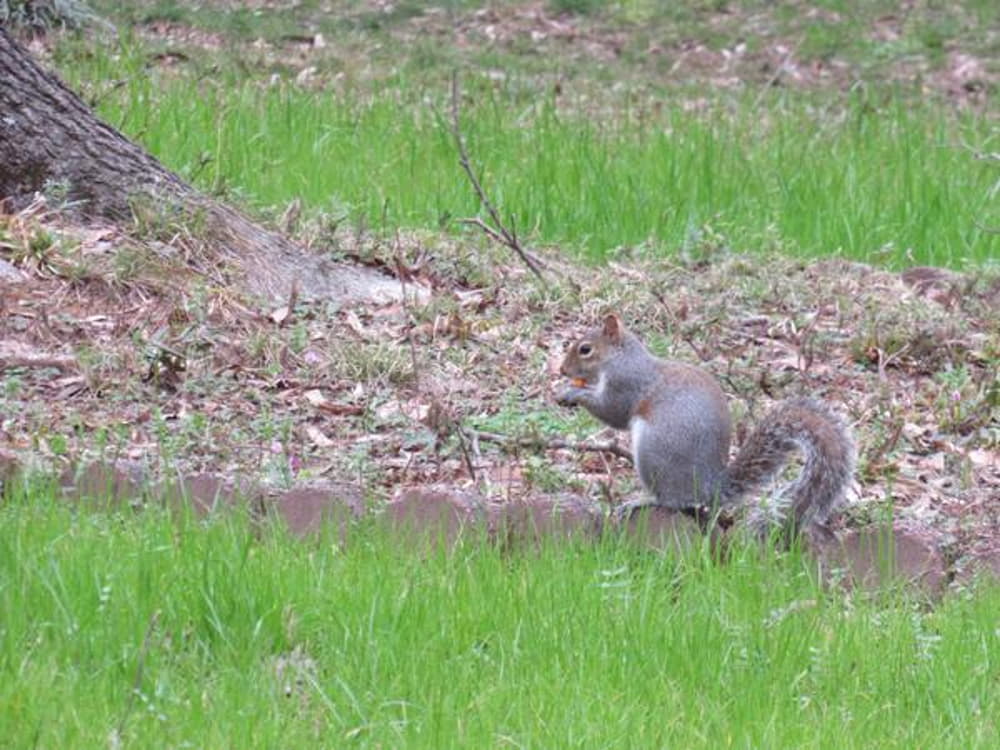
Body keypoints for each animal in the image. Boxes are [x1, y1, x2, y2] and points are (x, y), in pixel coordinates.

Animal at [556, 314, 852, 536]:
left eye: (585, 349)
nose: (562, 370)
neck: (622, 358)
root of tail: (710, 485)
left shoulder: (626, 385)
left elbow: (613, 411)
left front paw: (572, 393)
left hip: (653, 453)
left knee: (671, 501)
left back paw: (640, 501)